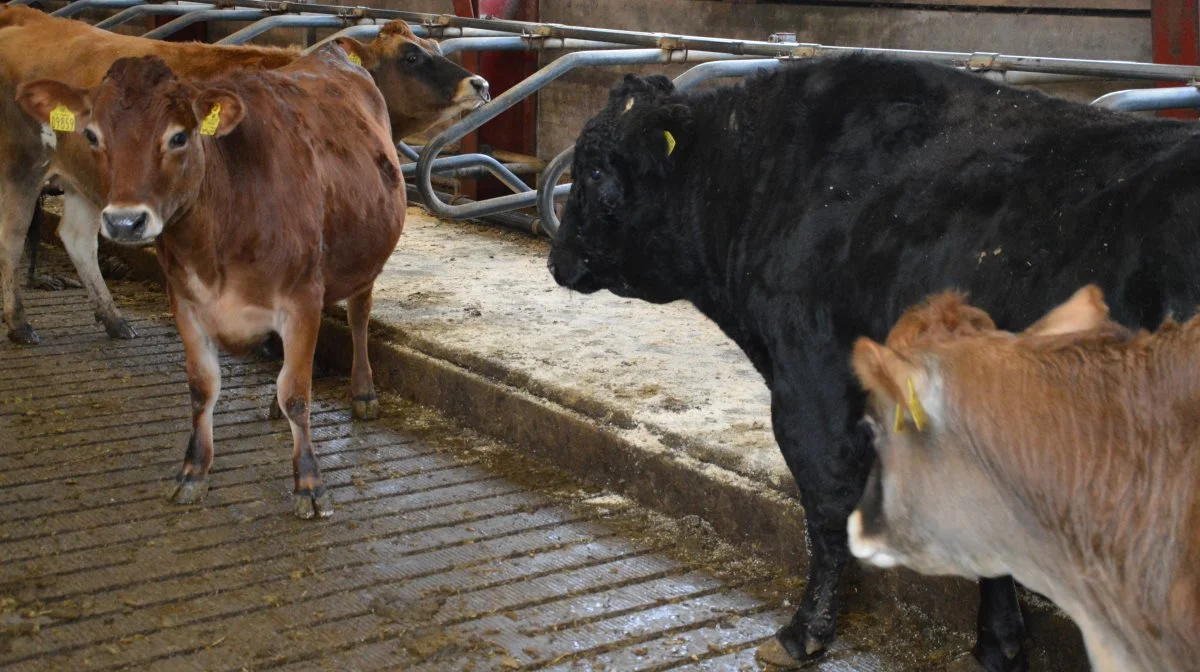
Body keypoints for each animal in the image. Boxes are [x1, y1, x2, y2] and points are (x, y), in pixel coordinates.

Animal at [1, 6, 487, 345]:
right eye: (411, 56)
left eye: (436, 49)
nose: (480, 84)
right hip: (20, 165)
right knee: (12, 238)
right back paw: (20, 325)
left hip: (84, 182)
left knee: (76, 238)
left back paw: (114, 320)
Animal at [17, 48, 408, 520]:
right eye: (92, 135)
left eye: (179, 137)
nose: (125, 222)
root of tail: (333, 54)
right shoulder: (185, 300)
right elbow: (203, 389)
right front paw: (193, 472)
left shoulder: (303, 298)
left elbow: (297, 394)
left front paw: (310, 485)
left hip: (367, 257)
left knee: (359, 314)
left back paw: (364, 393)